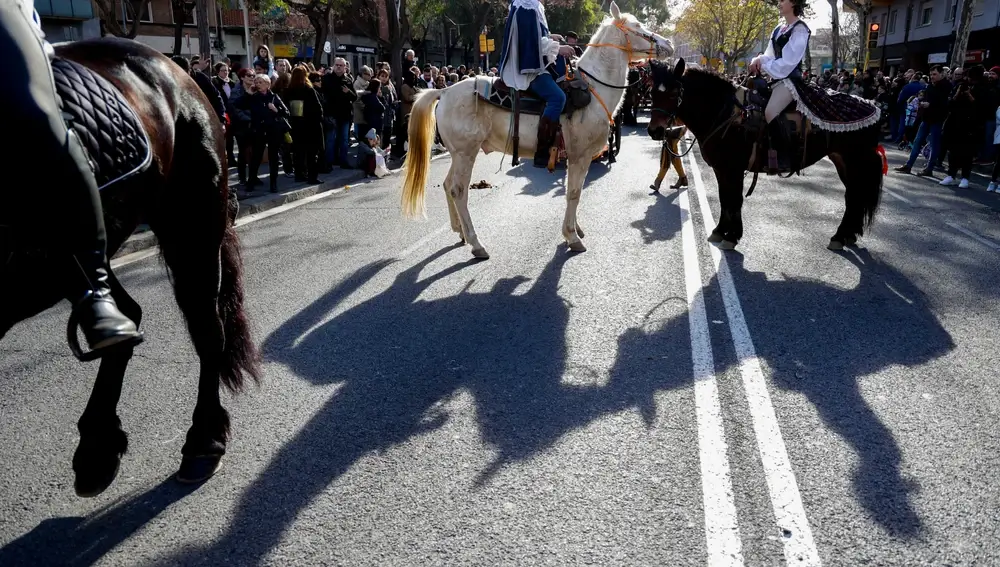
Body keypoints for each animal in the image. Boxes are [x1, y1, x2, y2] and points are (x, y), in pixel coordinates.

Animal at [0, 37, 262, 496]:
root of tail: (177, 71)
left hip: (190, 228)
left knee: (207, 328)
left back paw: (202, 441)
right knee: (125, 317)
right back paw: (97, 450)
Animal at [398, 1, 672, 260]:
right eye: (637, 26)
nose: (668, 44)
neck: (594, 89)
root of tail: (444, 91)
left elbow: (573, 191)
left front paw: (576, 229)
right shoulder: (580, 156)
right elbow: (574, 193)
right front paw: (572, 237)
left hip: (458, 154)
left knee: (447, 185)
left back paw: (460, 232)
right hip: (466, 153)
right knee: (458, 190)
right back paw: (477, 244)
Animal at [644, 59, 888, 251]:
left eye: (674, 93)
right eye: (653, 92)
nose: (655, 131)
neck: (724, 113)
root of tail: (873, 106)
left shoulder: (732, 169)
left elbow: (733, 199)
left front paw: (732, 236)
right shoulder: (721, 170)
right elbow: (724, 199)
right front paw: (720, 231)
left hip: (855, 161)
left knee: (854, 196)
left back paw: (840, 236)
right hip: (843, 162)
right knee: (854, 196)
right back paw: (847, 235)